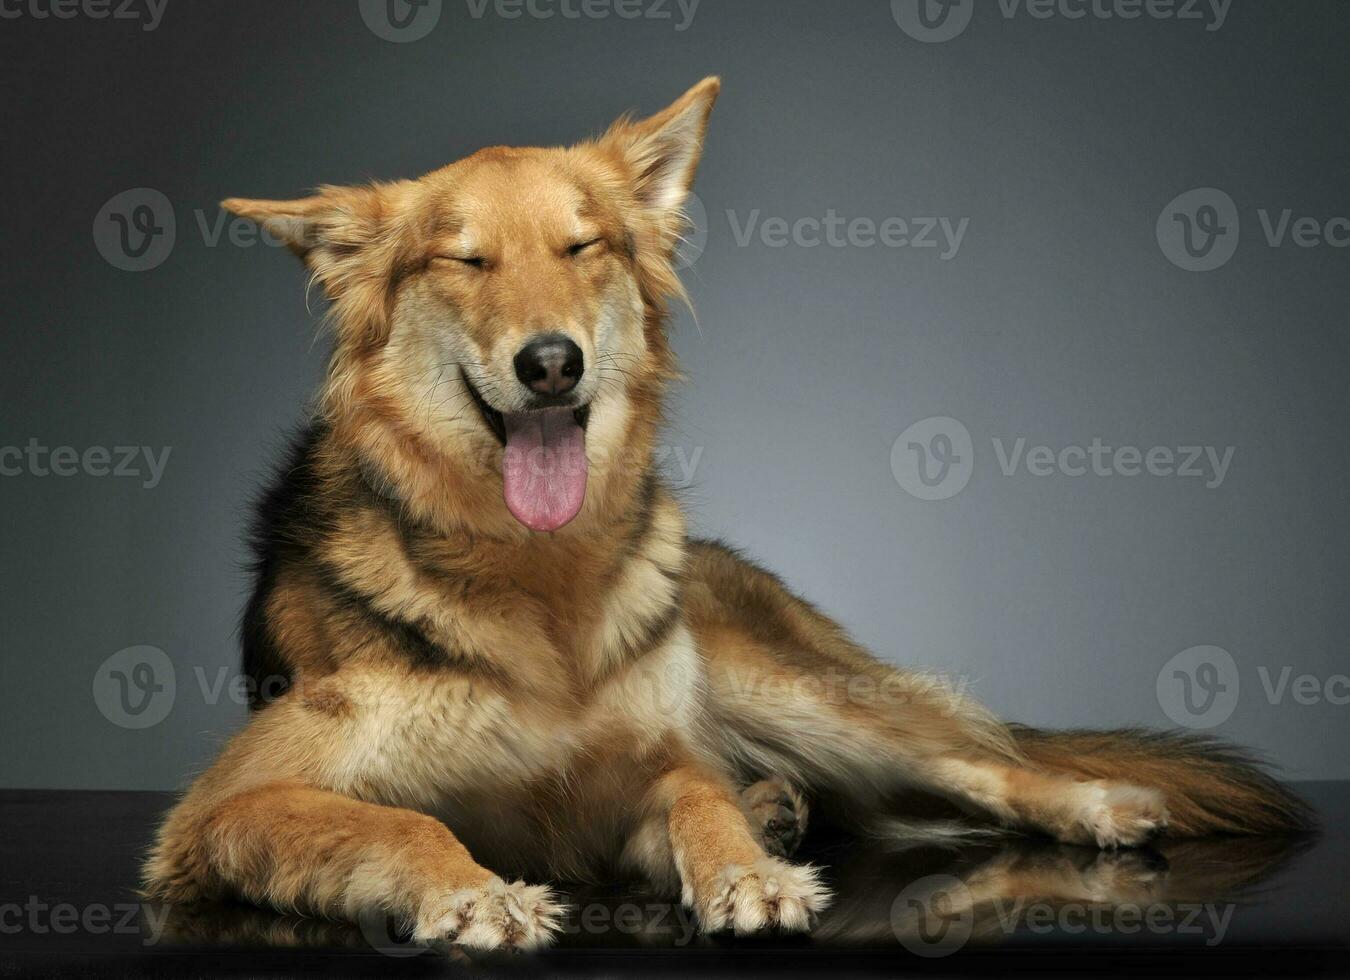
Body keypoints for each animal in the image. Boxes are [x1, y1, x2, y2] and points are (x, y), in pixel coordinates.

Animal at [145, 80, 1306, 955]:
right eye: (465, 260)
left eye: (583, 248)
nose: (552, 362)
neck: (540, 577)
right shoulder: (225, 808)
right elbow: (402, 820)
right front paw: (475, 889)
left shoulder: (643, 773)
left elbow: (695, 790)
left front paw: (746, 867)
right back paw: (778, 803)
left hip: (784, 685)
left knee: (976, 758)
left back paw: (1084, 803)